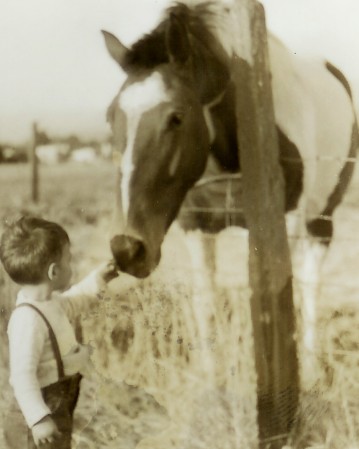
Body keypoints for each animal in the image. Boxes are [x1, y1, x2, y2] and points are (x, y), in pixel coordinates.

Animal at [102, 0, 358, 280]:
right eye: (110, 116)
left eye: (177, 117)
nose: (126, 248)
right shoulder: (195, 226)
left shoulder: (284, 223)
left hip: (321, 218)